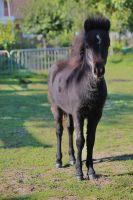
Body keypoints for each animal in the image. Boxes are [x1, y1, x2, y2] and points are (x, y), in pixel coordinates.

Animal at [47, 15, 110, 180]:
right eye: (87, 46)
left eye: (108, 44)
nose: (98, 70)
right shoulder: (79, 114)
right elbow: (80, 140)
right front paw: (79, 173)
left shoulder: (95, 115)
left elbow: (91, 140)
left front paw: (91, 172)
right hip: (56, 108)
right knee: (59, 131)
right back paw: (59, 161)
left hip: (69, 112)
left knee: (69, 129)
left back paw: (72, 158)